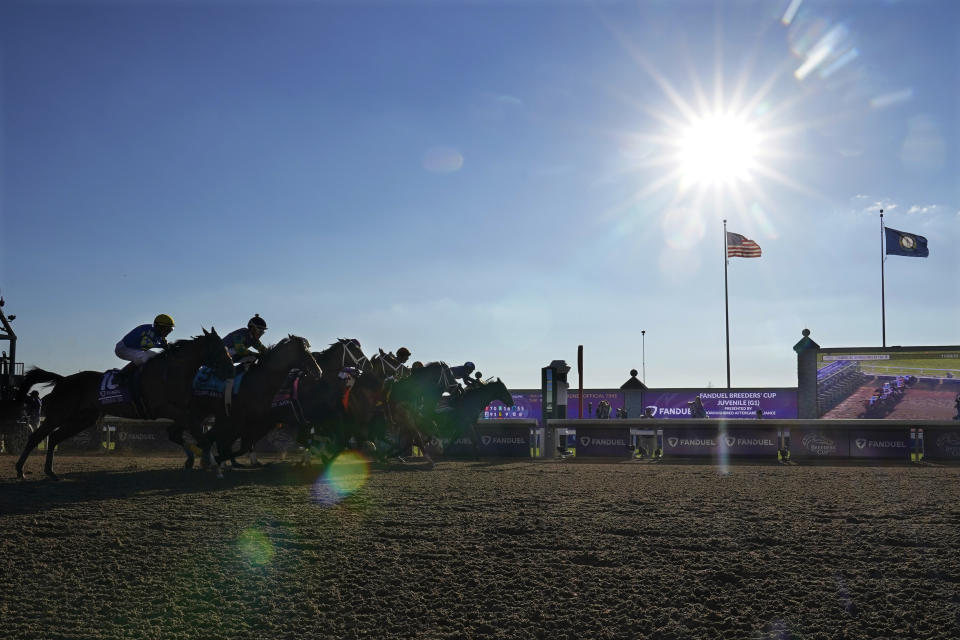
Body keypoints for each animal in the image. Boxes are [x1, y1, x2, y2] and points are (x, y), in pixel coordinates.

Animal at [15, 330, 233, 480]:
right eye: (219, 347)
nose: (231, 369)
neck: (171, 371)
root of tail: (63, 380)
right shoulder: (164, 408)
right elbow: (195, 432)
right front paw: (213, 464)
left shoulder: (183, 410)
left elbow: (189, 430)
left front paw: (206, 459)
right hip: (58, 414)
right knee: (36, 437)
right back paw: (20, 470)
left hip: (83, 419)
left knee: (54, 437)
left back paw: (50, 472)